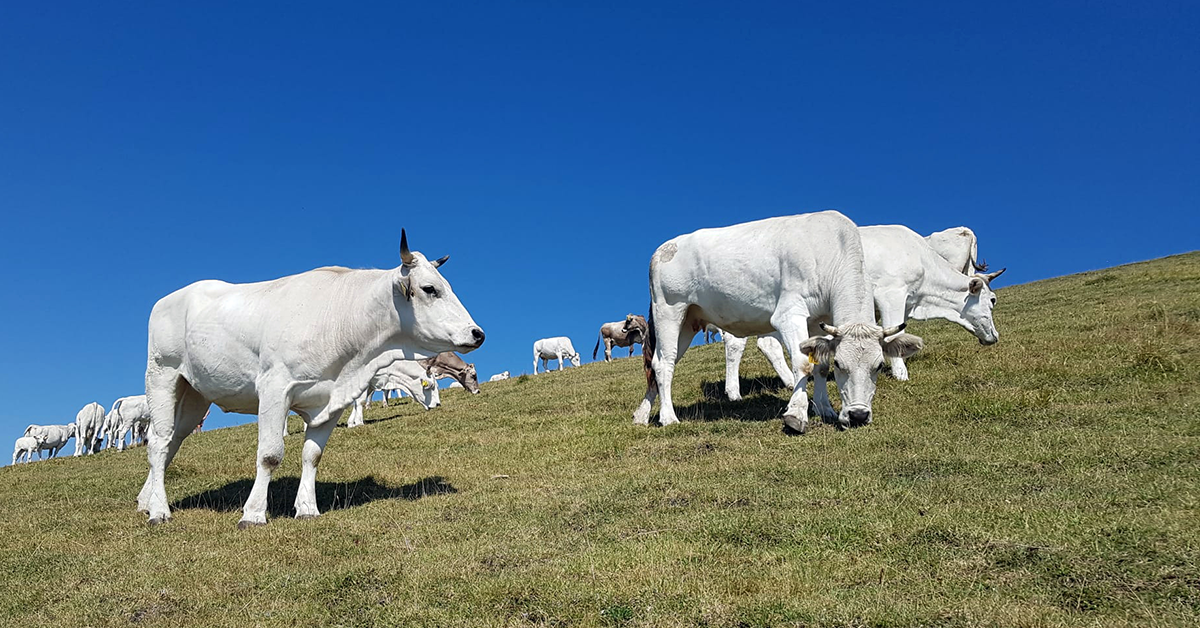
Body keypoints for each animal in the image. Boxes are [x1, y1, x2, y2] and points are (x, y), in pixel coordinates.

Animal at [137, 228, 482, 528]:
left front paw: (307, 508)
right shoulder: (275, 388)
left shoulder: (331, 400)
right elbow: (270, 455)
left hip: (196, 393)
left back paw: (145, 500)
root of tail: (171, 297)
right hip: (162, 375)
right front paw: (253, 514)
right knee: (158, 441)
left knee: (173, 441)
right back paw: (159, 510)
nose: (477, 333)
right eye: (430, 289)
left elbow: (312, 455)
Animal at [633, 211, 921, 432]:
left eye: (878, 365)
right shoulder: (789, 313)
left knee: (658, 363)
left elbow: (819, 366)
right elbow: (803, 364)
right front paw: (797, 414)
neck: (830, 249)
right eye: (842, 365)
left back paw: (642, 415)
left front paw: (825, 409)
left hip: (689, 320)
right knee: (664, 363)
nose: (859, 415)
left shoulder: (820, 320)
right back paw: (668, 418)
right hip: (669, 309)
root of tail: (665, 248)